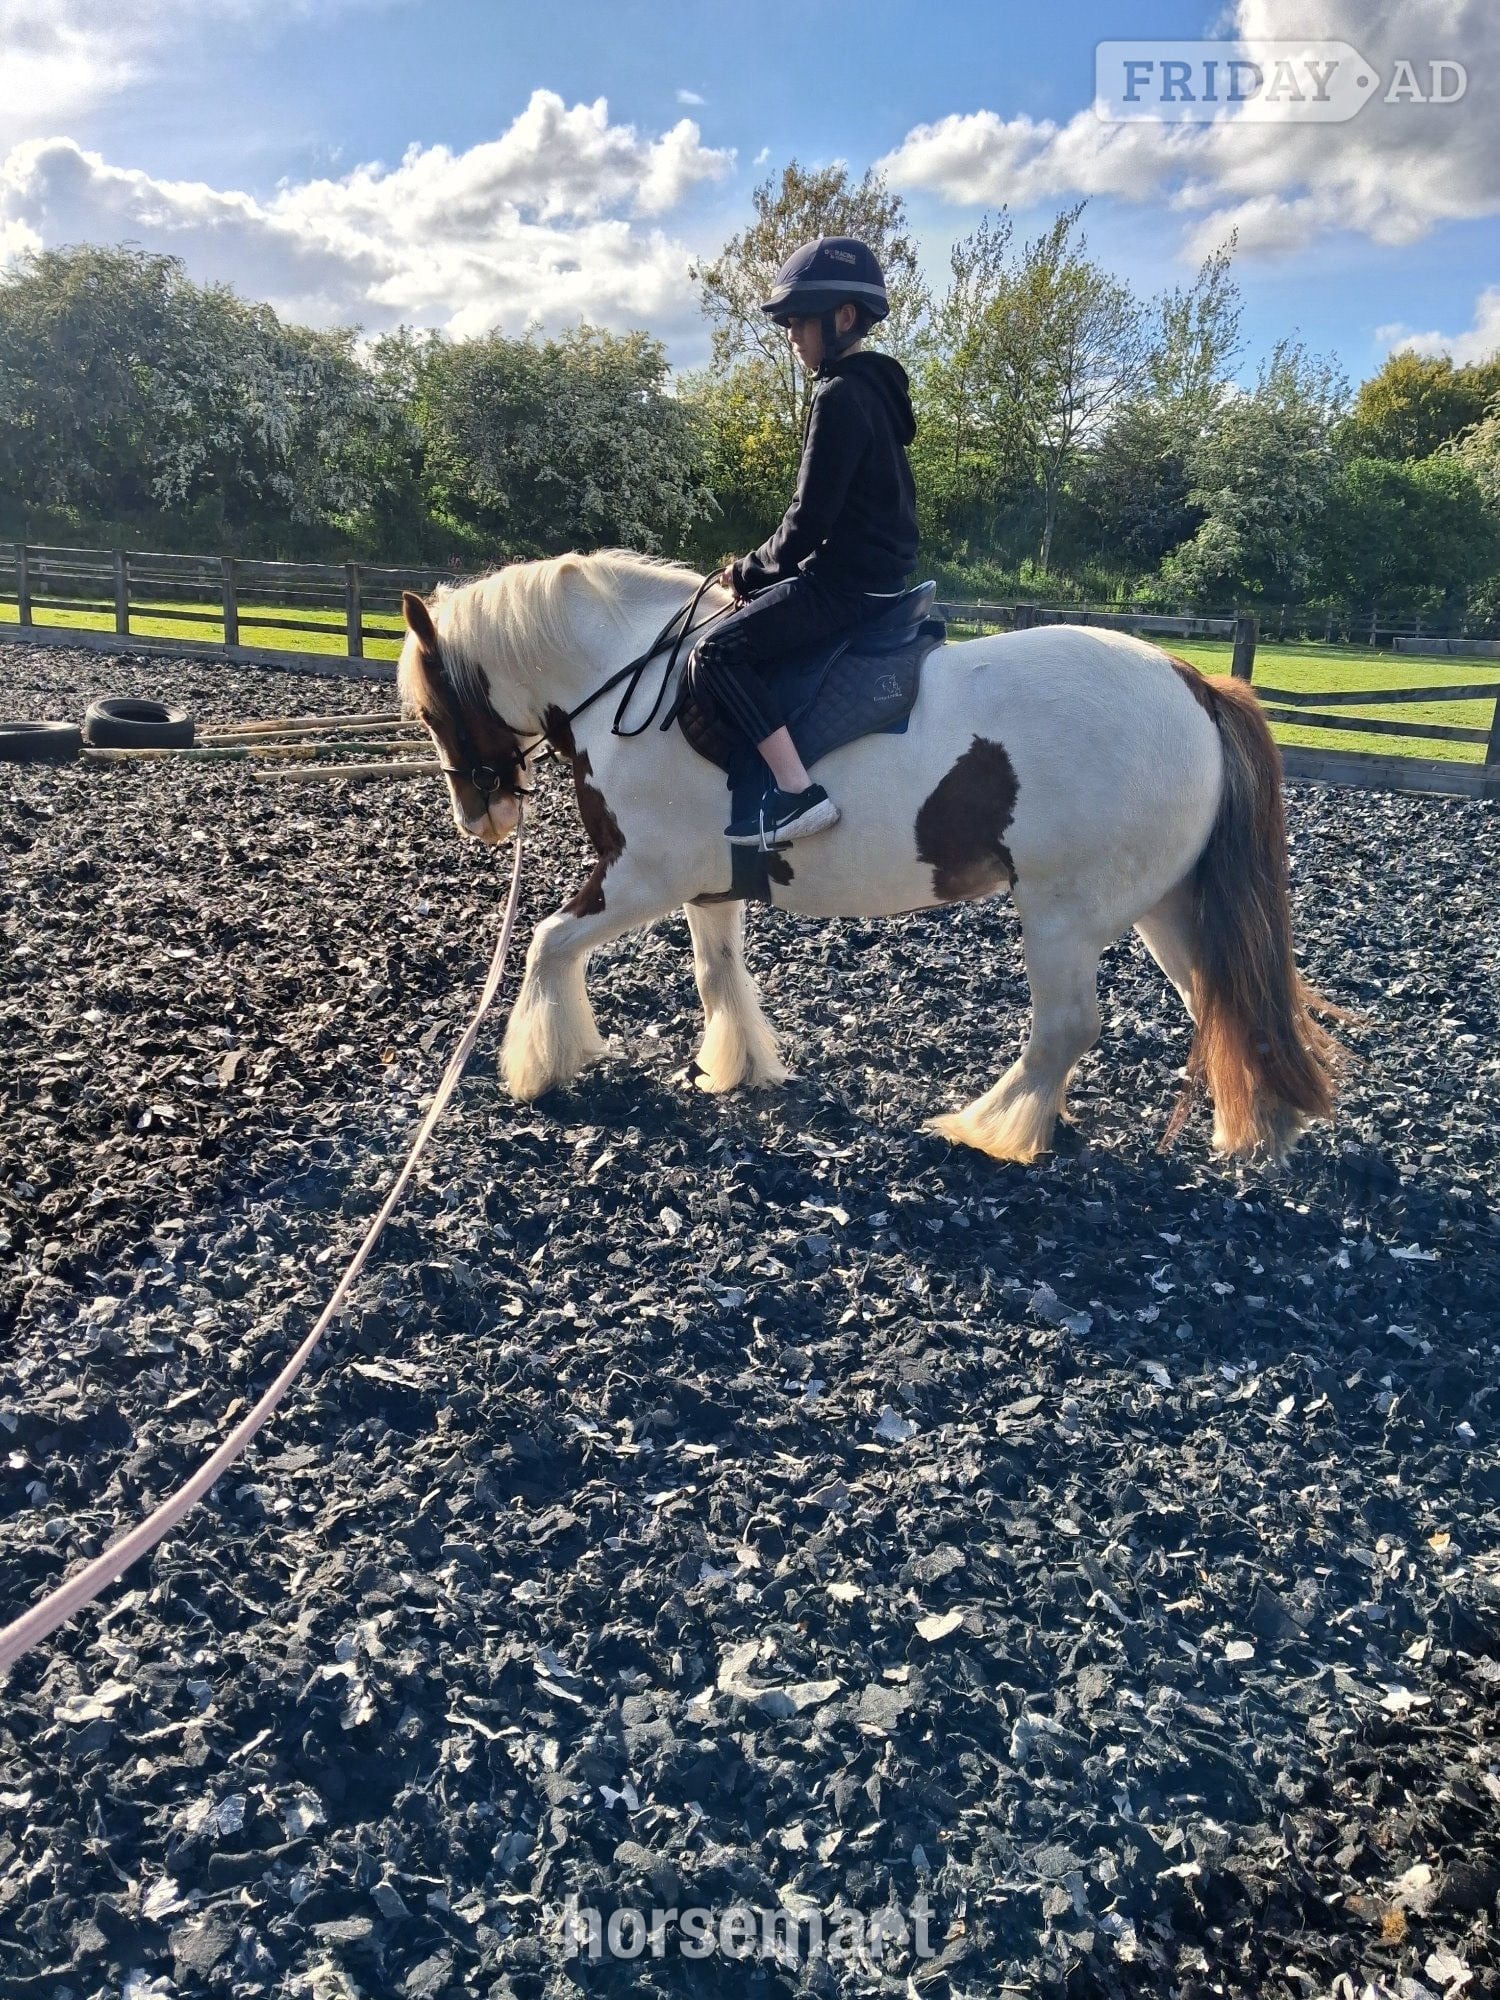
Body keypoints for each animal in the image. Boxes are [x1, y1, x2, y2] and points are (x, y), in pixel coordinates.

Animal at [397, 551, 1340, 1162]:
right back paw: (1258, 1127)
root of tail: (1193, 682)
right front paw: (737, 1067)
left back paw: (992, 1127)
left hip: (1064, 915)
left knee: (1069, 1027)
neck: (636, 682)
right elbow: (717, 975)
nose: (479, 816)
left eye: (432, 708)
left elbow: (547, 945)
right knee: (1226, 1000)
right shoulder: (708, 888)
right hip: (1167, 905)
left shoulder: (640, 877)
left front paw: (539, 1065)